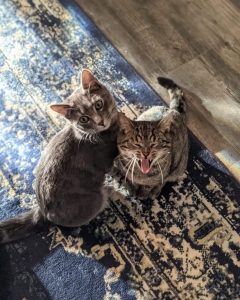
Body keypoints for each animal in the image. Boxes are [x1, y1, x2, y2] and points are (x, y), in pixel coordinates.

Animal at [0, 69, 119, 243]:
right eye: (84, 119)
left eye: (98, 104)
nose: (100, 122)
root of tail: (42, 212)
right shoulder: (105, 160)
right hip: (94, 199)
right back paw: (112, 192)